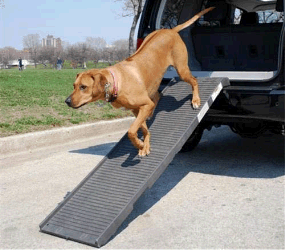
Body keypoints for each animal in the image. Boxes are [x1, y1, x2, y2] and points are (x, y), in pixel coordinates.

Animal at [65, 7, 214, 156]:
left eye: (83, 87)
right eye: (73, 86)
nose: (67, 101)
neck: (117, 83)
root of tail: (170, 30)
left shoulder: (144, 105)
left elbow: (131, 131)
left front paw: (140, 144)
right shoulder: (137, 109)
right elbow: (143, 128)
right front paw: (144, 145)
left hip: (181, 69)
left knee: (193, 80)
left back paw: (195, 100)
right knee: (158, 95)